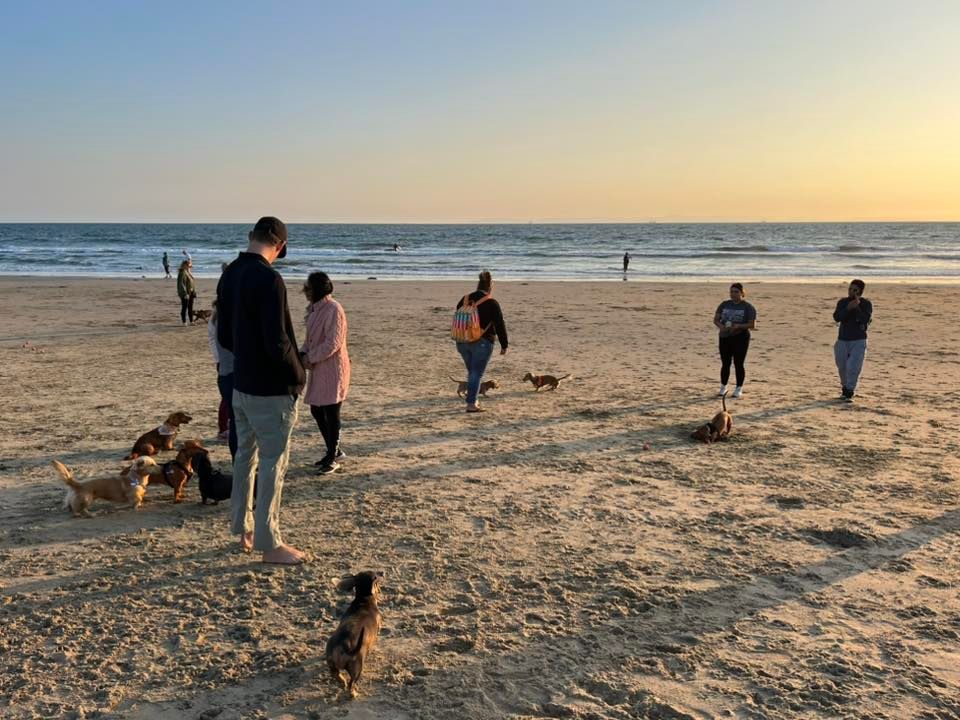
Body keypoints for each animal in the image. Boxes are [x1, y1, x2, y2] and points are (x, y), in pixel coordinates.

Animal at [328, 572, 384, 700]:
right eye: (376, 576)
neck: (363, 599)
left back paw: (342, 682)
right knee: (351, 684)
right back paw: (353, 694)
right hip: (357, 669)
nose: (382, 573)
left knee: (337, 675)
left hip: (332, 664)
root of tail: (343, 645)